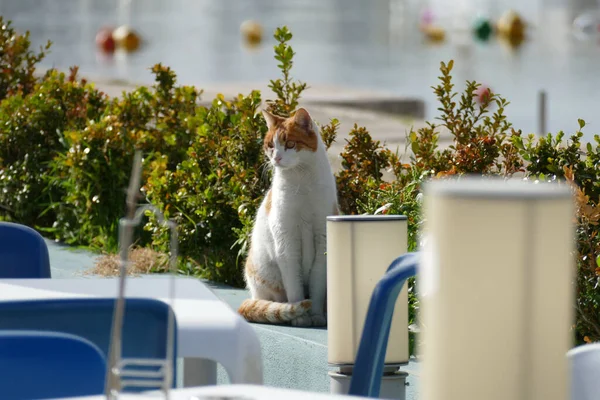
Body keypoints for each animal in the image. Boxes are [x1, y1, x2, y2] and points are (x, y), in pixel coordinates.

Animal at [238, 108, 340, 326]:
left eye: (290, 144)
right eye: (270, 145)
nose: (276, 158)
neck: (303, 181)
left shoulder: (322, 240)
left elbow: (318, 284)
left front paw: (316, 315)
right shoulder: (286, 241)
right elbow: (294, 285)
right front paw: (299, 316)